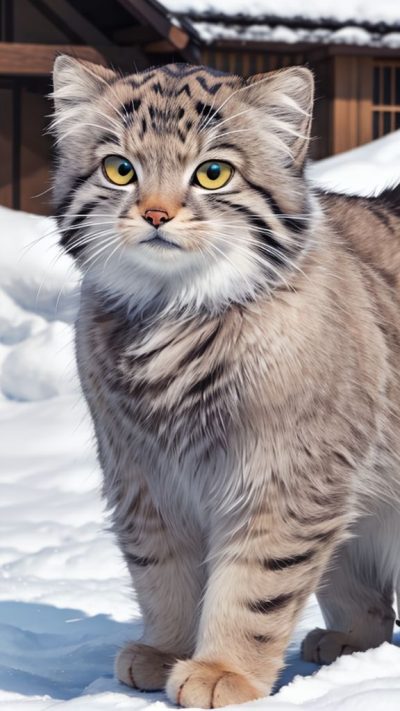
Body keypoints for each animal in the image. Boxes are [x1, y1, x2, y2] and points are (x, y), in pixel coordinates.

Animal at [51, 57, 398, 708]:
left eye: (213, 174)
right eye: (120, 169)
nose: (156, 214)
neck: (173, 318)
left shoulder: (286, 477)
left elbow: (255, 585)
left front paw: (224, 670)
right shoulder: (144, 478)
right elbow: (162, 575)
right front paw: (166, 652)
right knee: (367, 601)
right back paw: (344, 644)